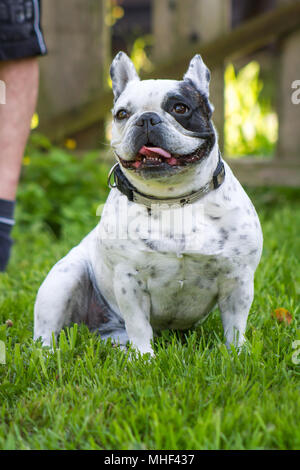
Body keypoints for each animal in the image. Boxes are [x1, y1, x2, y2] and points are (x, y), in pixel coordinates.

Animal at [33, 51, 262, 354]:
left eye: (180, 108)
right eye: (122, 114)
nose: (146, 119)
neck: (173, 199)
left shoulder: (238, 278)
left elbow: (235, 324)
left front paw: (237, 354)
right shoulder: (130, 282)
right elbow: (139, 325)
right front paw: (144, 358)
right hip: (63, 280)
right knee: (46, 333)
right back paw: (47, 356)